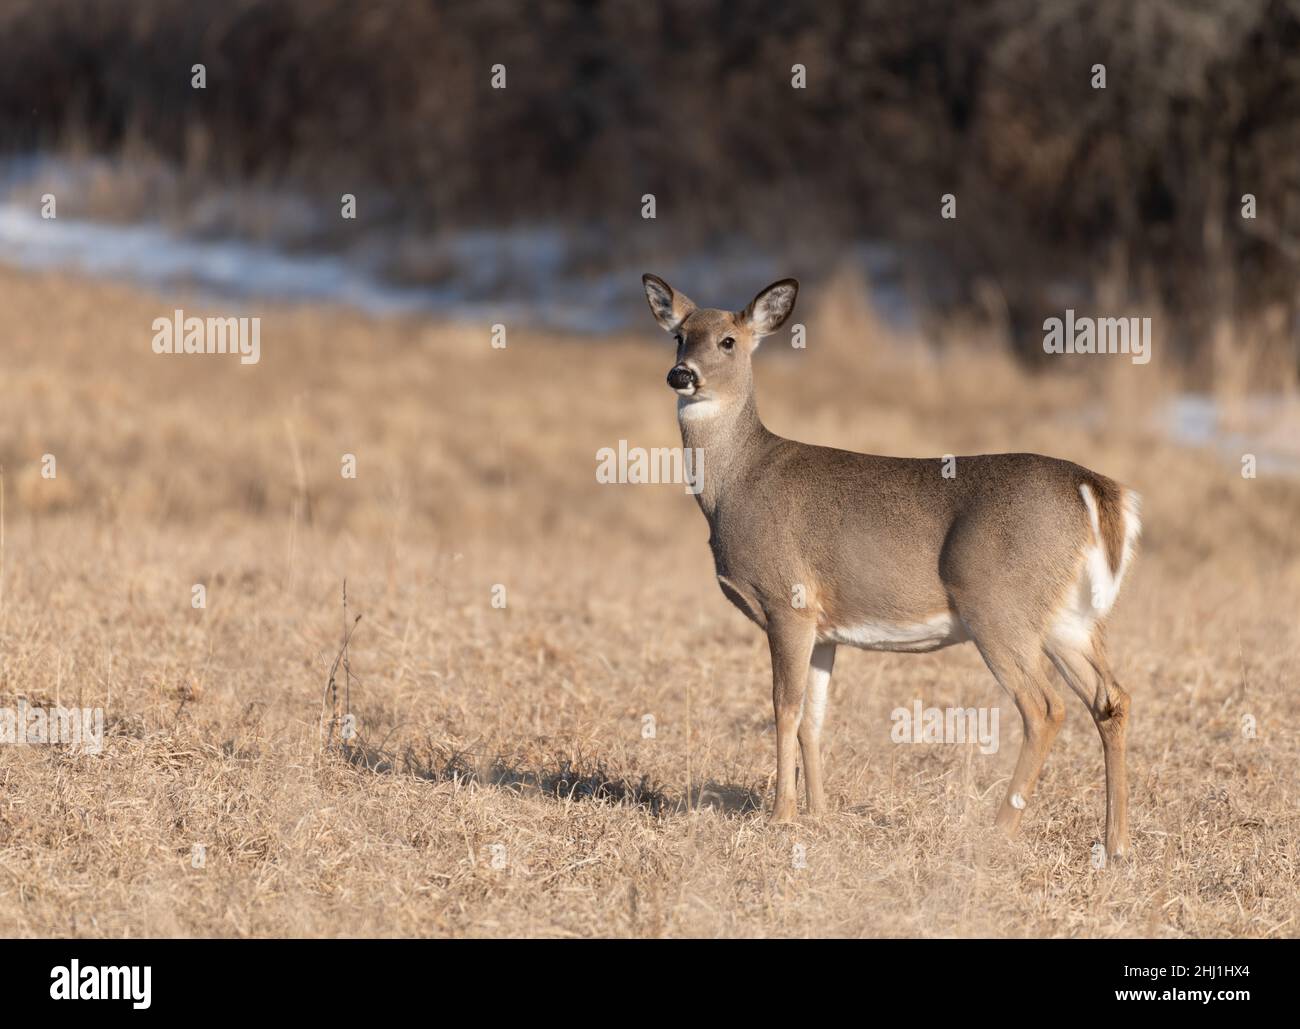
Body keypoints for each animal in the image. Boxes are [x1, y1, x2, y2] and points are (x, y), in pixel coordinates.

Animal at [639, 268, 1138, 857]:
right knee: (1112, 698)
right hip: (1070, 618)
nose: (681, 375)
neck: (736, 484)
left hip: (998, 604)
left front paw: (782, 816)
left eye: (728, 341)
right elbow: (814, 719)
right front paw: (819, 813)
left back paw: (997, 830)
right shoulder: (824, 628)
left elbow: (784, 709)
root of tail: (1093, 489)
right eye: (678, 336)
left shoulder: (788, 601)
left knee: (1044, 706)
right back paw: (1116, 844)